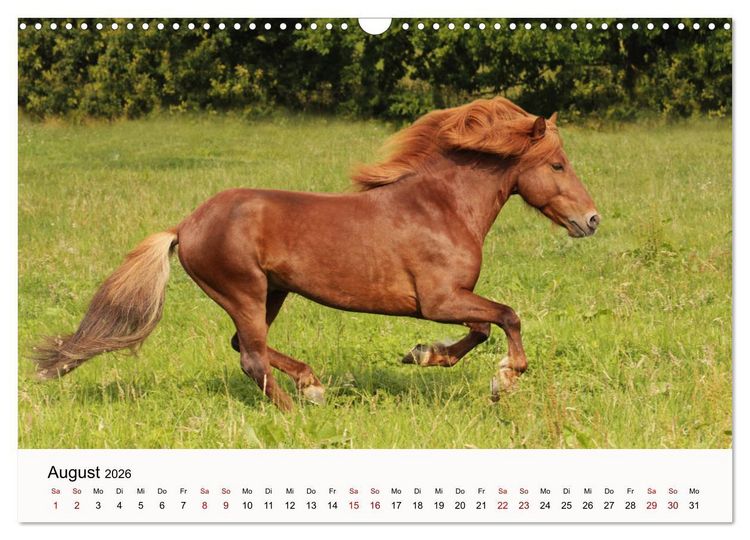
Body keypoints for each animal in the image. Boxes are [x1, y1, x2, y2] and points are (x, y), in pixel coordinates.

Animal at [33, 97, 600, 410]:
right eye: (557, 165)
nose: (592, 220)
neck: (441, 207)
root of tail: (185, 224)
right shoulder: (439, 299)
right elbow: (507, 316)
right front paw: (504, 380)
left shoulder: (449, 301)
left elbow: (482, 328)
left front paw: (422, 354)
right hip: (243, 290)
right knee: (251, 356)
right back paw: (302, 410)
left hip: (272, 293)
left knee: (245, 346)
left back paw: (311, 385)